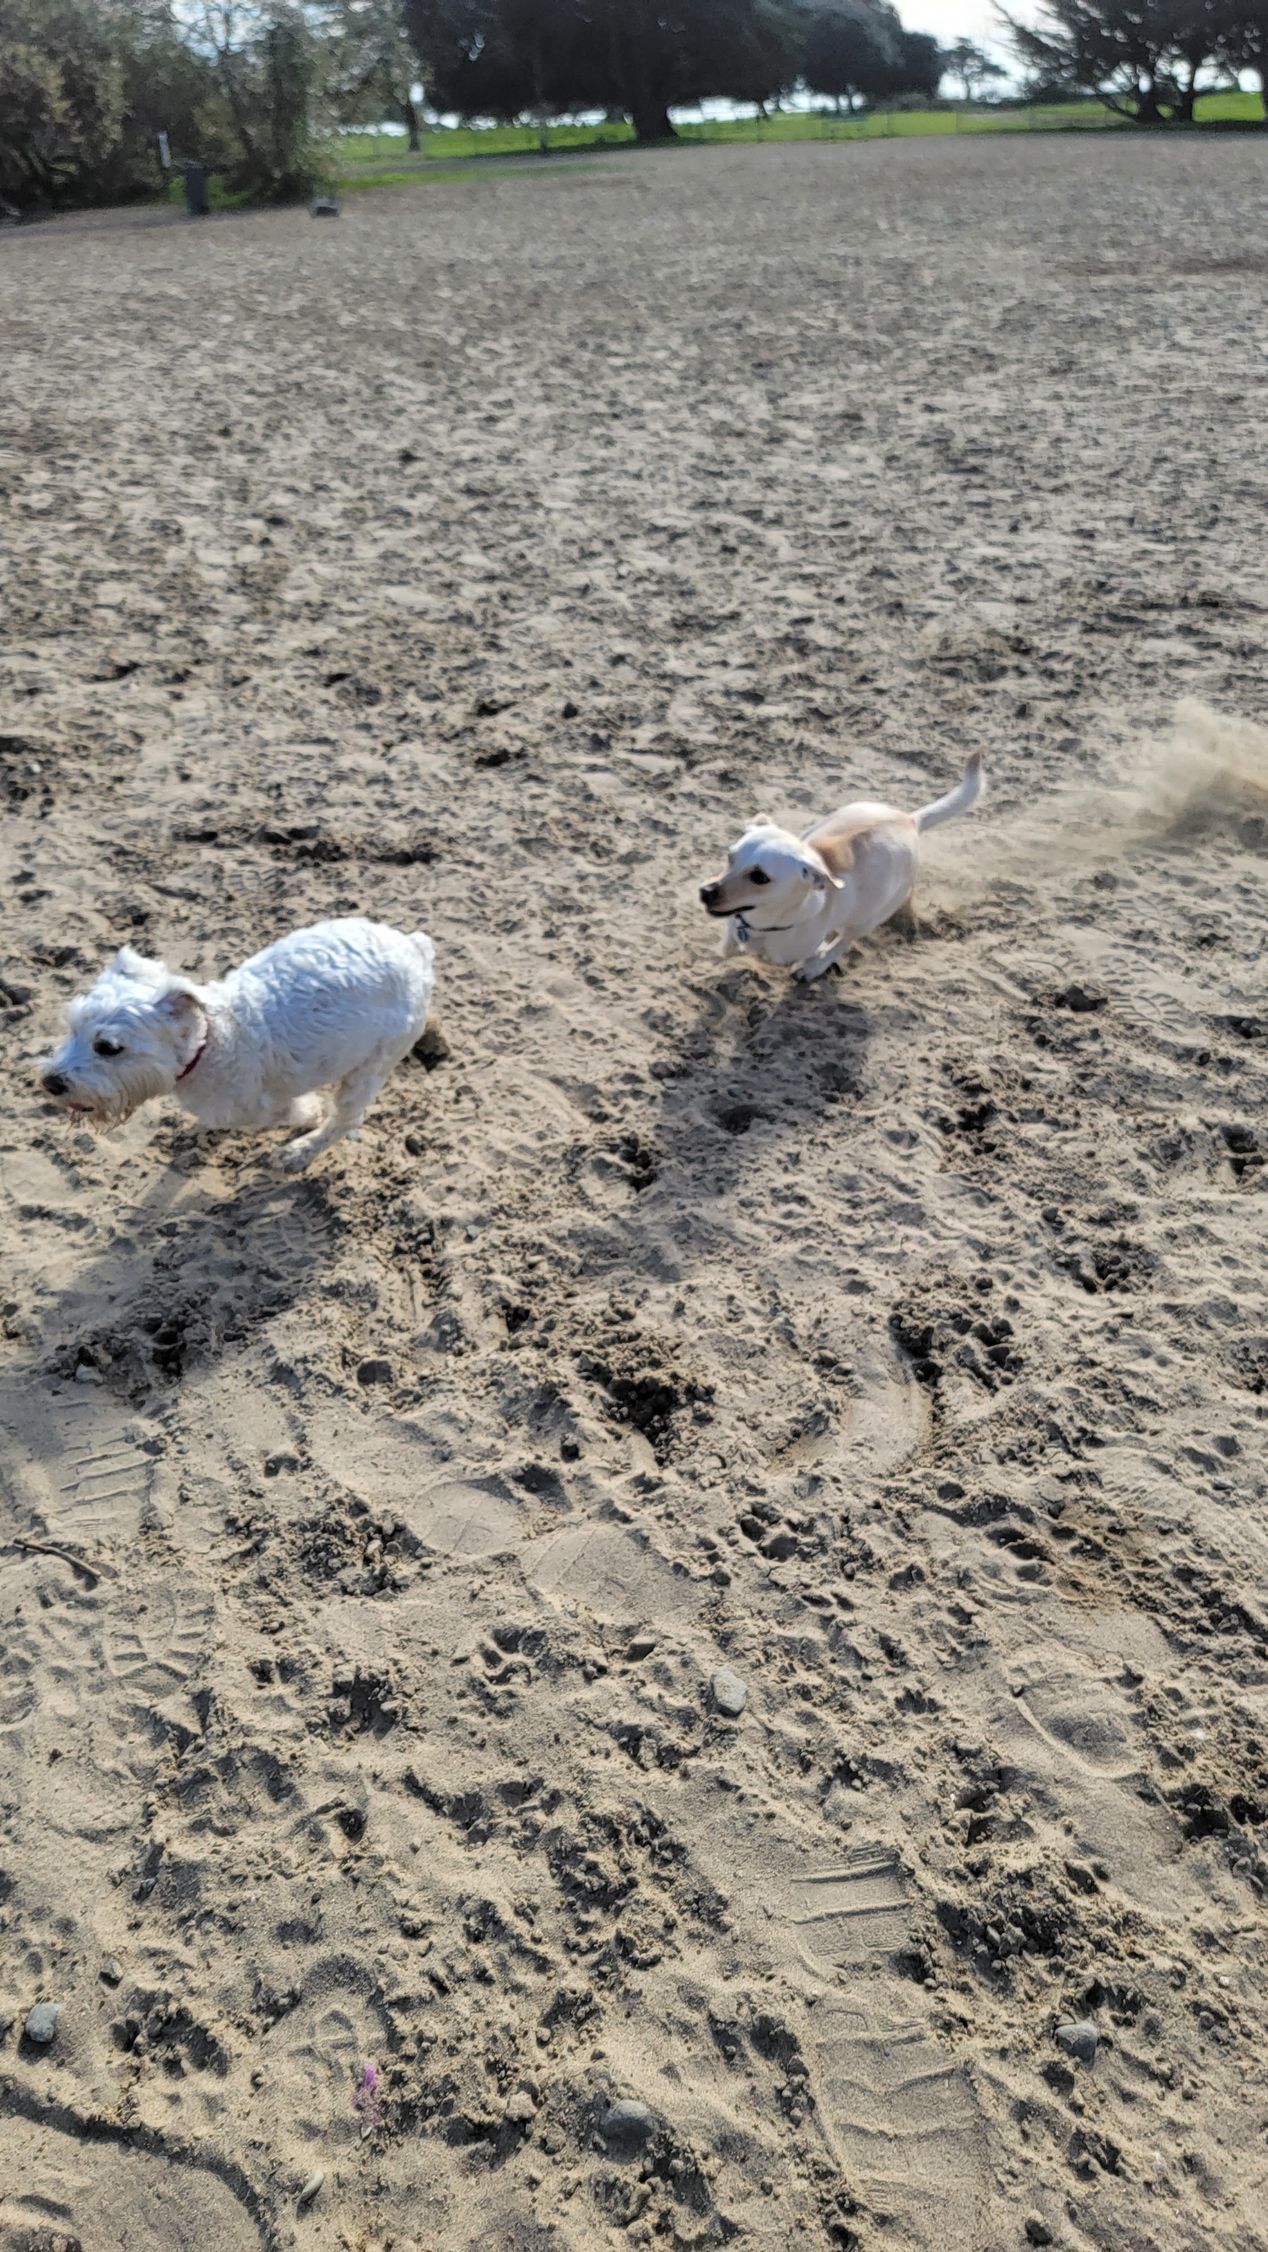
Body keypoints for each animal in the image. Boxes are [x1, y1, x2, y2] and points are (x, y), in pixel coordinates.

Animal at [39, 918, 435, 1172]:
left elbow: (301, 1110)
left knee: (347, 1119)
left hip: (373, 1064)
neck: (207, 1044)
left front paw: (308, 1117)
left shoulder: (261, 1107)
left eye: (108, 1047)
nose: (50, 1083)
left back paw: (299, 1153)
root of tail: (413, 949)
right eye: (72, 1027)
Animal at [699, 753, 984, 982]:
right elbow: (728, 945)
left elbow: (823, 947)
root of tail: (909, 819)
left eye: (760, 877)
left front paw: (814, 961)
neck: (761, 924)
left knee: (845, 941)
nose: (705, 892)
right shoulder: (735, 927)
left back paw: (815, 967)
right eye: (730, 857)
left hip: (871, 916)